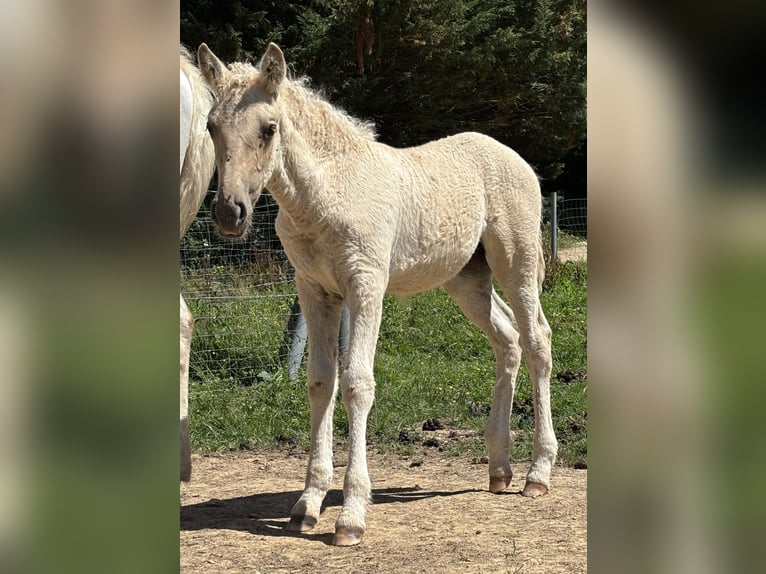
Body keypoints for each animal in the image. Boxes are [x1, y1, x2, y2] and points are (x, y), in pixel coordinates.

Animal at [197, 42, 558, 546]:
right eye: (212, 127)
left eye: (268, 129)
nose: (230, 214)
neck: (325, 196)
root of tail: (514, 157)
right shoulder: (314, 291)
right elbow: (320, 382)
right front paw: (307, 505)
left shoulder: (366, 286)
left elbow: (357, 383)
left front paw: (350, 515)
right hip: (466, 278)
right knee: (507, 340)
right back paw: (500, 469)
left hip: (516, 262)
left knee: (537, 339)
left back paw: (537, 473)